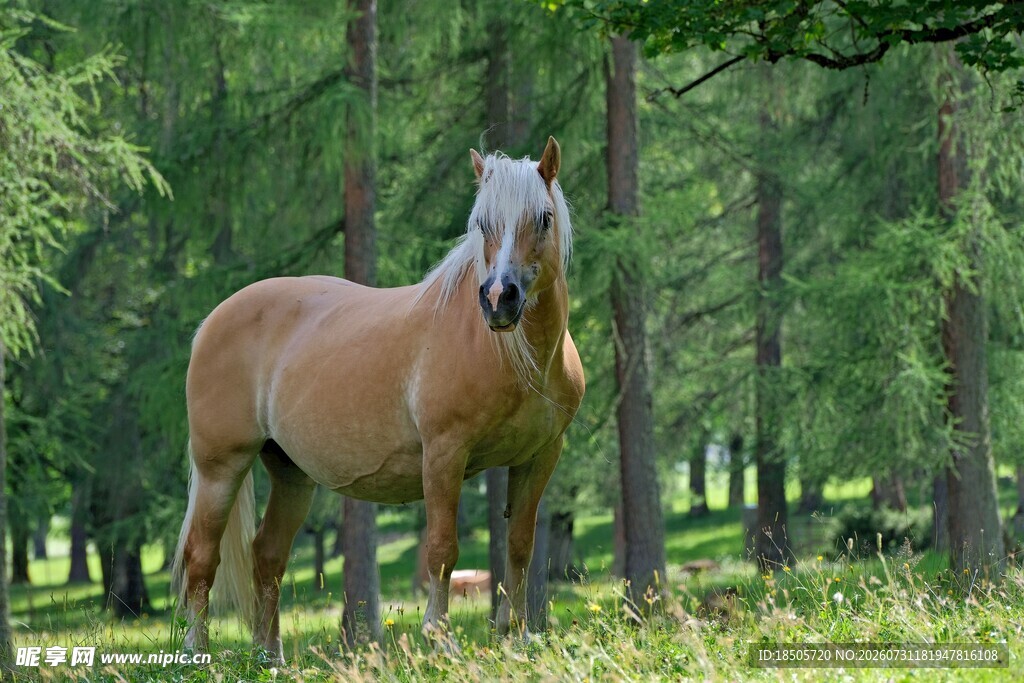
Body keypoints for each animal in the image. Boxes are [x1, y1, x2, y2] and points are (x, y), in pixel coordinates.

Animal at [171, 137, 585, 660]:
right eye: (481, 223)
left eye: (543, 218)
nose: (498, 300)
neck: (512, 356)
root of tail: (212, 321)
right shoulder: (444, 455)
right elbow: (442, 548)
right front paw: (439, 639)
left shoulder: (538, 458)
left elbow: (520, 545)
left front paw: (516, 635)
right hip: (221, 468)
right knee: (201, 557)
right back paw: (195, 653)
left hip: (290, 473)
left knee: (267, 555)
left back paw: (271, 657)